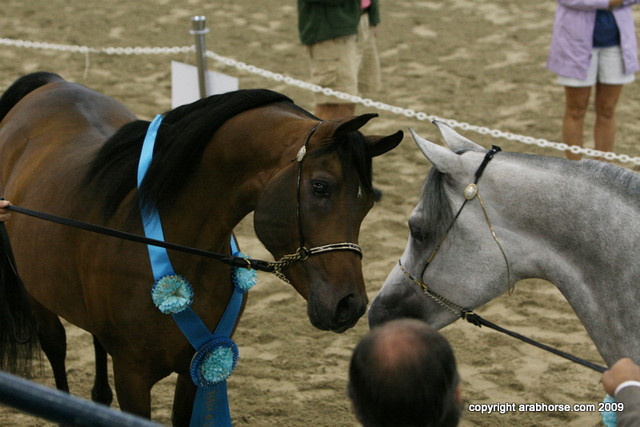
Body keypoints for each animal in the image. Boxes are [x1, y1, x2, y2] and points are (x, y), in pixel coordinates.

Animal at [0, 71, 402, 423]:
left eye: (368, 203)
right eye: (320, 187)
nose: (350, 304)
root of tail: (52, 83)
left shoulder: (198, 365)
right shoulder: (133, 376)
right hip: (35, 293)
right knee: (56, 347)